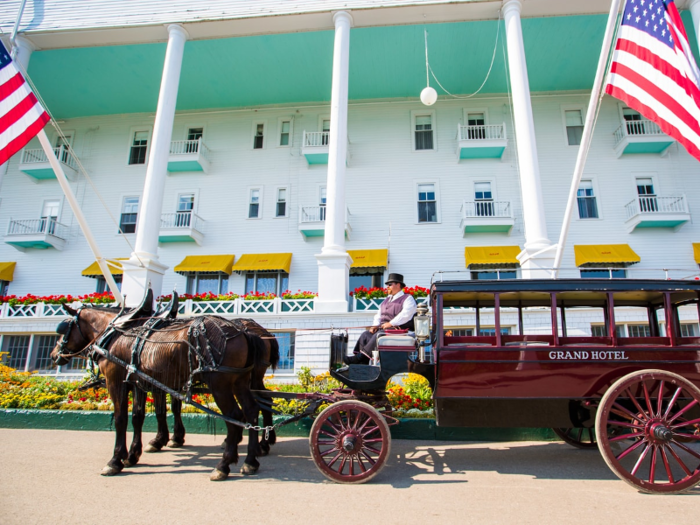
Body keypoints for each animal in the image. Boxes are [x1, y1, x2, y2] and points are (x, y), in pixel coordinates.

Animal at [51, 302, 268, 478]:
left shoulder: (116, 380)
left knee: (235, 417)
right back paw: (250, 460)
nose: (54, 355)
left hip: (220, 384)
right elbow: (139, 416)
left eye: (63, 328)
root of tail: (243, 332)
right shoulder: (138, 381)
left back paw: (224, 464)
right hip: (240, 381)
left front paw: (115, 460)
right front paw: (132, 454)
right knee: (252, 411)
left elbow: (121, 418)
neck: (116, 333)